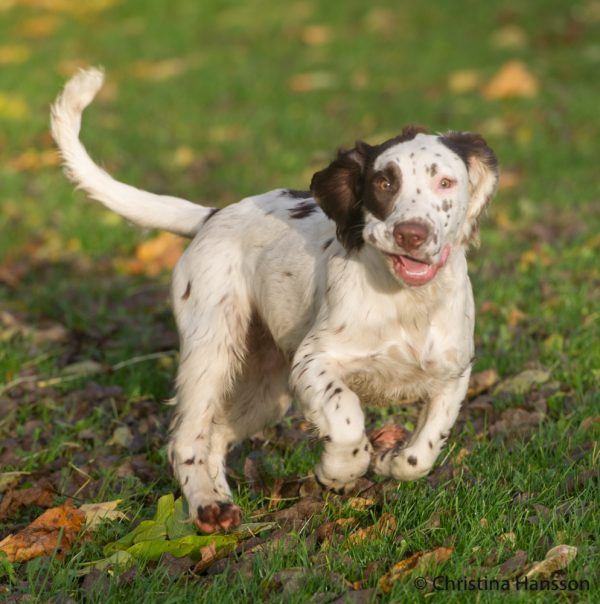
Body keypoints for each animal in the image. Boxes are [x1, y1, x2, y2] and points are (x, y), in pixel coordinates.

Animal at [51, 68, 500, 532]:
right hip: (212, 349)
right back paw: (207, 505)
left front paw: (391, 460)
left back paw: (221, 500)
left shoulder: (453, 373)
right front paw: (339, 472)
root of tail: (213, 215)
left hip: (266, 385)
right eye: (383, 182)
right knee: (188, 436)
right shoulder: (314, 360)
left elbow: (424, 449)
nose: (411, 234)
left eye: (445, 182)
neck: (406, 301)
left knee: (216, 433)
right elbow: (345, 417)